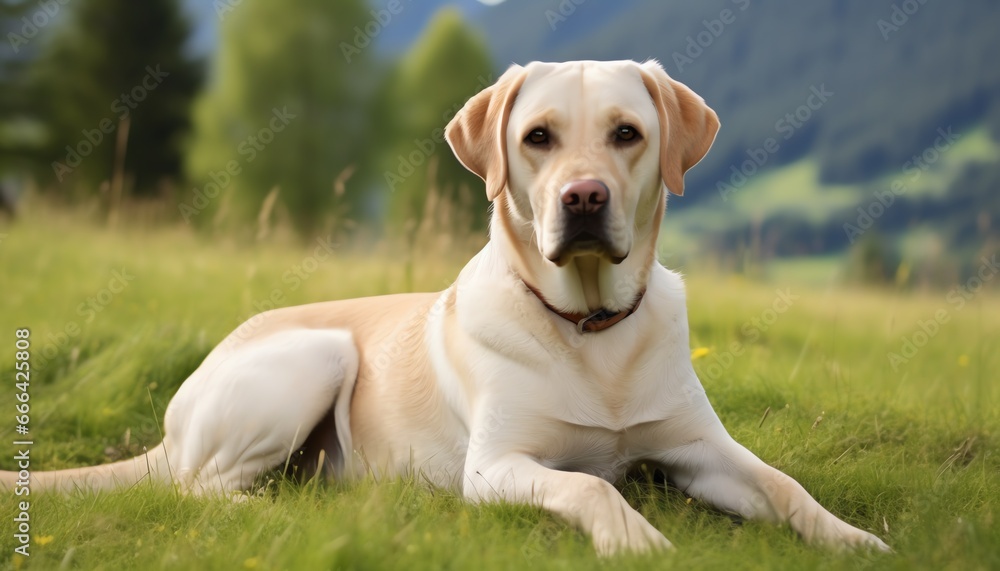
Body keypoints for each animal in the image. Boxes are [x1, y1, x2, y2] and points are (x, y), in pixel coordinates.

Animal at [0, 60, 892, 556]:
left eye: (627, 132)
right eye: (538, 137)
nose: (584, 196)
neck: (590, 324)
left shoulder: (703, 449)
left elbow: (785, 487)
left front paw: (856, 539)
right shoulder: (496, 466)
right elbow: (590, 488)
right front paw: (634, 537)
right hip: (318, 353)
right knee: (200, 490)